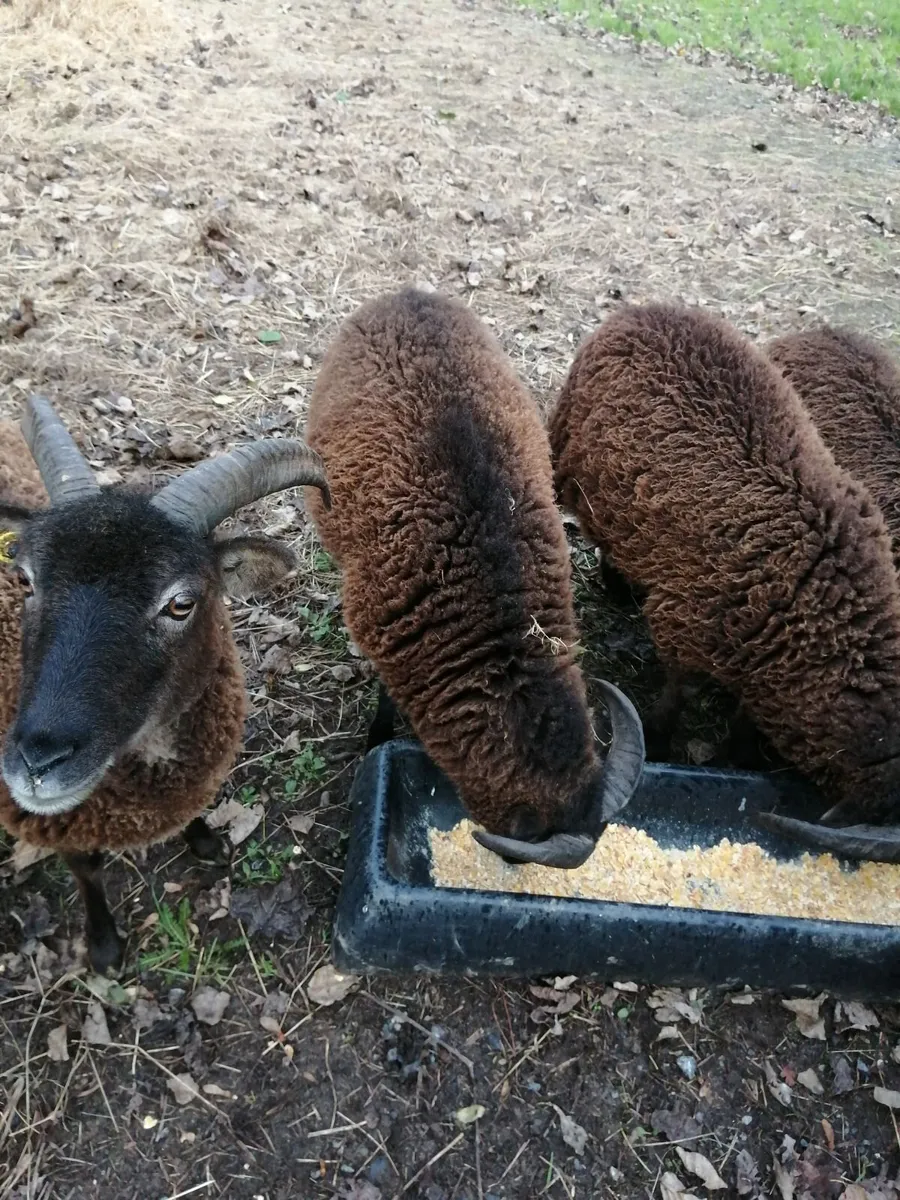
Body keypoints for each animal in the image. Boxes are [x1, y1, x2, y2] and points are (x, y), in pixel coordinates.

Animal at [0, 396, 330, 973]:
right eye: (25, 579)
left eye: (181, 603)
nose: (39, 761)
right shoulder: (55, 820)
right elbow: (85, 868)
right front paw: (105, 947)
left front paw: (206, 843)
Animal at [549, 301, 900, 863]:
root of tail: (642, 310)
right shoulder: (686, 625)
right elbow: (679, 692)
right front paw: (665, 743)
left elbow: (744, 711)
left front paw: (738, 754)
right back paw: (617, 583)